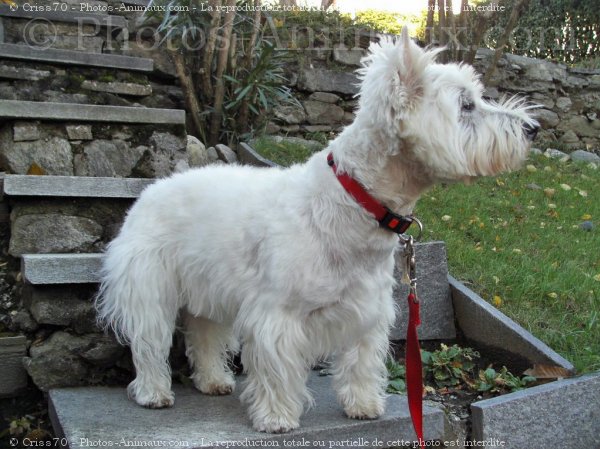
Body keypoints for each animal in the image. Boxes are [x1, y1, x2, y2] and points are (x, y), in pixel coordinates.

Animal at [95, 28, 540, 434]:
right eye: (466, 105)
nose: (532, 128)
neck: (358, 199)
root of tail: (149, 191)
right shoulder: (279, 312)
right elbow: (277, 368)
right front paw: (276, 417)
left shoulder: (367, 311)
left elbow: (361, 360)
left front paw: (364, 405)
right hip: (151, 284)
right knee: (149, 340)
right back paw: (154, 392)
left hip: (207, 287)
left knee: (205, 334)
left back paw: (214, 381)